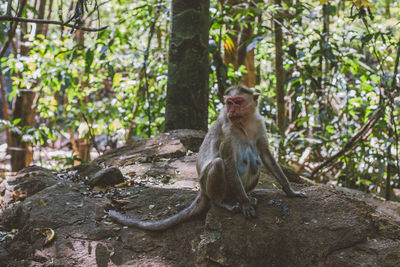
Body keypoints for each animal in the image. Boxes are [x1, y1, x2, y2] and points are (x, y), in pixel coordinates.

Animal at [108, 85, 304, 230]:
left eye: (238, 102)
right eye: (229, 102)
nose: (231, 110)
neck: (244, 122)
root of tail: (201, 190)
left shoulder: (259, 124)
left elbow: (265, 154)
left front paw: (290, 191)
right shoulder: (226, 130)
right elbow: (228, 161)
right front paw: (245, 204)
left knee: (255, 161)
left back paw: (248, 195)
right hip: (210, 186)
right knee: (219, 165)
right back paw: (224, 202)